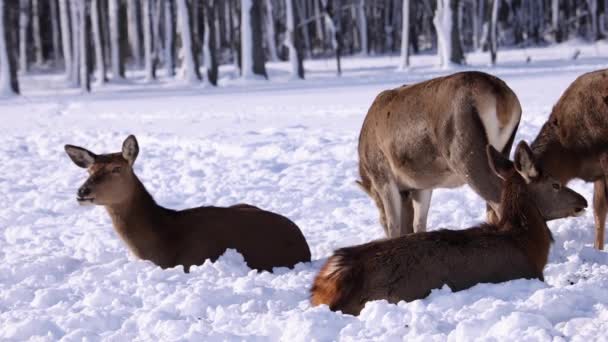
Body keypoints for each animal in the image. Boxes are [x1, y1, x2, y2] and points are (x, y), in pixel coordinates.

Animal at [356, 71, 524, 238]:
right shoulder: (421, 184)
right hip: (502, 149)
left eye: (380, 219)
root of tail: (502, 98)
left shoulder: (382, 176)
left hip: (464, 154)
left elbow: (394, 226)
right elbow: (419, 223)